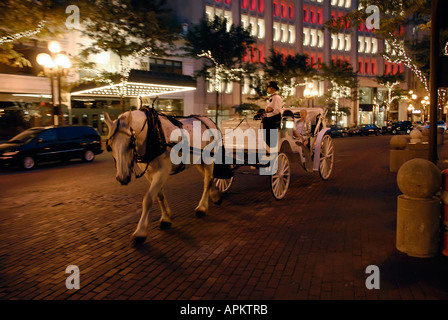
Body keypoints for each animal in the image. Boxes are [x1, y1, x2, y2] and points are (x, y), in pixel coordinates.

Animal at [105, 109, 224, 244]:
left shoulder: (162, 171)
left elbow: (148, 199)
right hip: (199, 160)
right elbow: (159, 195)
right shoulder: (149, 173)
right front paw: (166, 217)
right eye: (110, 146)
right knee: (209, 177)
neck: (152, 134)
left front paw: (140, 232)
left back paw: (202, 208)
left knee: (207, 180)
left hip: (209, 159)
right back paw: (216, 195)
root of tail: (209, 121)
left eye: (131, 143)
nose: (122, 178)